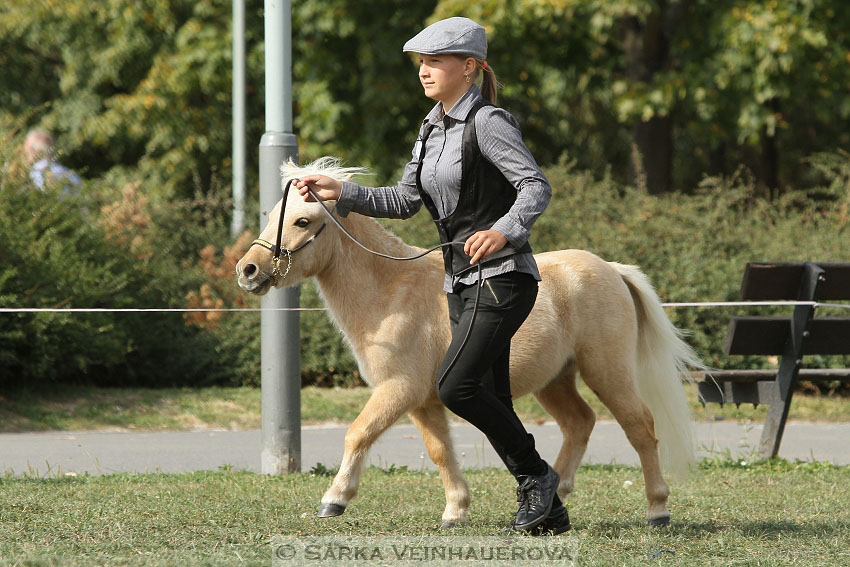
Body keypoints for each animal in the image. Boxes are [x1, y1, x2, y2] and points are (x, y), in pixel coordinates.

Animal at [235, 156, 700, 528]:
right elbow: (441, 451)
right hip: (555, 381)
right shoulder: (422, 401)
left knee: (640, 427)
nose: (248, 270)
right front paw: (455, 511)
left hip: (607, 371)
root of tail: (611, 269)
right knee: (579, 423)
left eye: (303, 221)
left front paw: (334, 500)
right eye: (272, 215)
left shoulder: (398, 390)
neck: (391, 294)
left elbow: (358, 434)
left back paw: (657, 510)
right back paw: (553, 501)